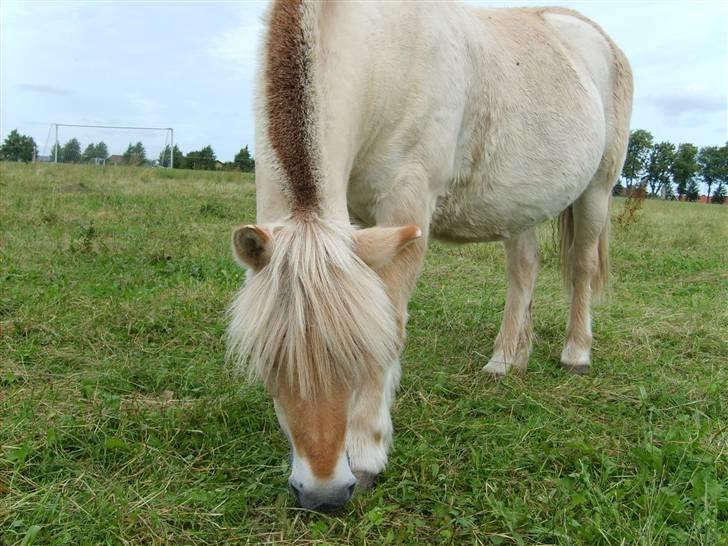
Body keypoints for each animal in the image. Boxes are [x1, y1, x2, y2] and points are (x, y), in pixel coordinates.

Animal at [226, 1, 632, 510]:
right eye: (269, 363)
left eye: (358, 355)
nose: (324, 494)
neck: (384, 52)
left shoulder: (407, 204)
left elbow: (392, 321)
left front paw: (366, 451)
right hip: (522, 204)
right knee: (524, 269)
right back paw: (506, 361)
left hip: (597, 190)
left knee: (581, 267)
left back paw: (576, 353)